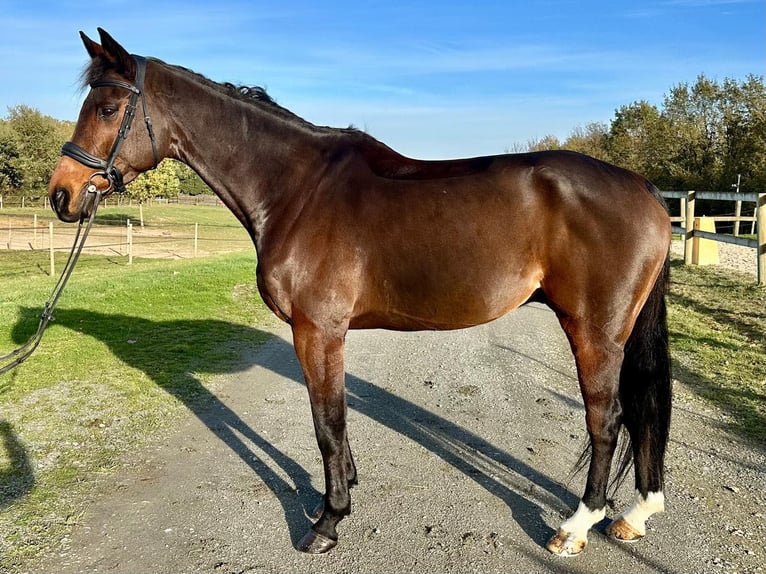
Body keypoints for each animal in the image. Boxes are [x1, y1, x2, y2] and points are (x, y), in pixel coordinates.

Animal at [48, 28, 672, 557]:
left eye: (108, 109)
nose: (61, 195)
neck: (297, 189)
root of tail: (644, 188)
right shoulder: (327, 334)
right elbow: (336, 419)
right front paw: (343, 491)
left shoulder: (316, 330)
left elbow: (326, 422)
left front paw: (327, 521)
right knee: (638, 413)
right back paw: (635, 515)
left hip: (593, 331)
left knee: (607, 418)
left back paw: (576, 526)